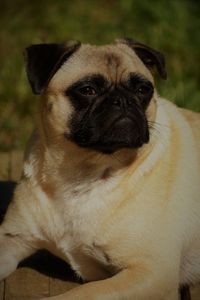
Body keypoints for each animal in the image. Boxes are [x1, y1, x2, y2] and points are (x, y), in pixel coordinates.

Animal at [0, 38, 200, 300]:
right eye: (87, 90)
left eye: (143, 90)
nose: (123, 100)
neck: (81, 174)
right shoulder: (11, 240)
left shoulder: (151, 273)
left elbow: (80, 294)